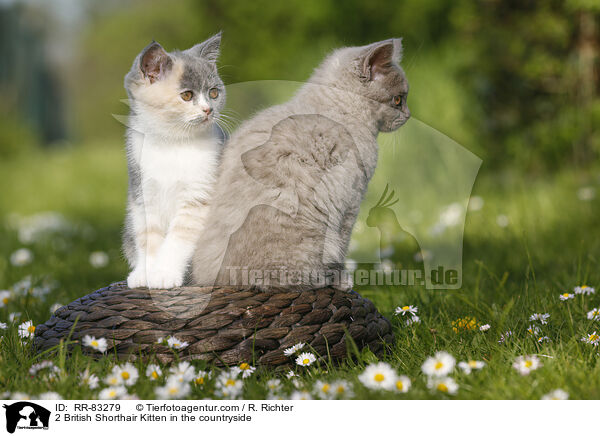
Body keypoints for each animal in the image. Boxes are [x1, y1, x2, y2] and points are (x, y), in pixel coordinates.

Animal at [123, 33, 226, 290]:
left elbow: (179, 236)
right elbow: (147, 236)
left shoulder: (199, 195)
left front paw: (164, 273)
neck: (172, 143)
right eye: (187, 95)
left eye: (213, 93)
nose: (208, 110)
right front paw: (145, 273)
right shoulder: (142, 192)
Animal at [190, 37, 410, 290]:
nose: (408, 115)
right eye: (398, 100)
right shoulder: (350, 203)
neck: (339, 109)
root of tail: (223, 281)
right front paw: (342, 280)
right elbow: (343, 247)